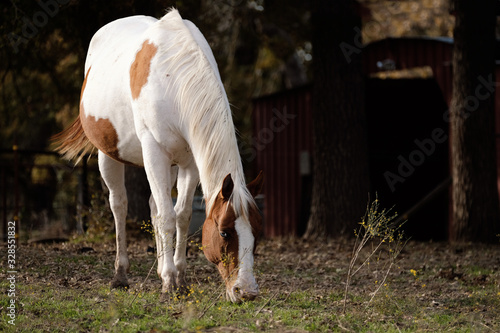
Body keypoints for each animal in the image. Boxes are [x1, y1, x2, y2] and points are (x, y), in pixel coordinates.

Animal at [53, 9, 266, 302]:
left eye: (257, 232)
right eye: (224, 232)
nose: (246, 291)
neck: (172, 79)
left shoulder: (189, 163)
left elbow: (182, 215)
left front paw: (179, 275)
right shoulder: (154, 153)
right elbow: (166, 216)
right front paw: (169, 281)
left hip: (170, 164)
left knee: (154, 205)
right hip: (109, 155)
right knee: (119, 205)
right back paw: (121, 274)